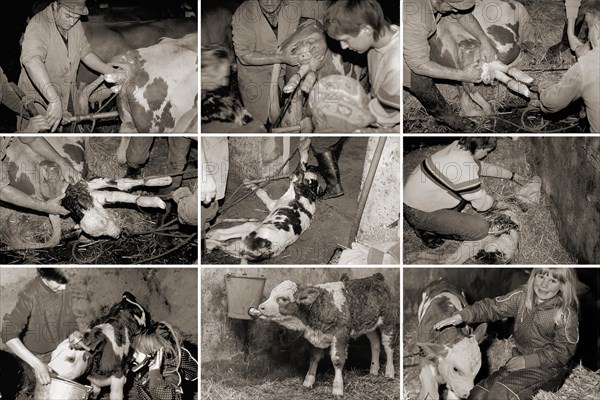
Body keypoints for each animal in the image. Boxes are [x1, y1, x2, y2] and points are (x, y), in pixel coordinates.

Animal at [0, 138, 172, 250]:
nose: (117, 234)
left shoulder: (85, 183)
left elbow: (121, 185)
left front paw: (163, 182)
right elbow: (118, 193)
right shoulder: (92, 193)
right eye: (96, 235)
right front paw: (155, 199)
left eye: (103, 220)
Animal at [246, 274, 396, 396]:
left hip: (388, 320)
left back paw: (389, 372)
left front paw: (337, 389)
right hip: (368, 325)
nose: (261, 307)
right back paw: (374, 370)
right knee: (375, 343)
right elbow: (314, 357)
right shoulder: (316, 335)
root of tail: (376, 277)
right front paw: (308, 382)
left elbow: (337, 360)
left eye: (283, 299)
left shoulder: (341, 333)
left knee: (388, 345)